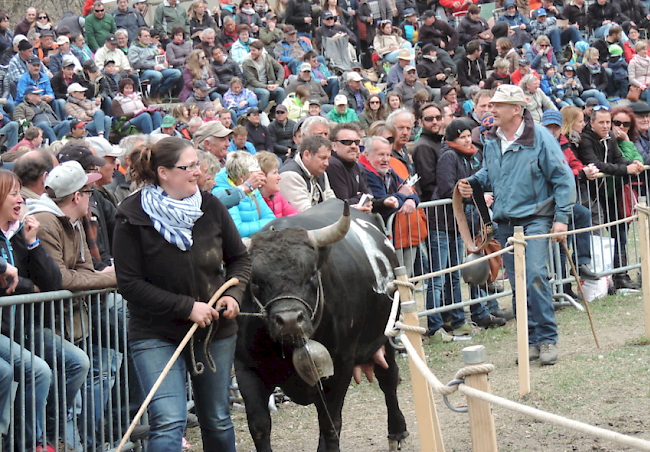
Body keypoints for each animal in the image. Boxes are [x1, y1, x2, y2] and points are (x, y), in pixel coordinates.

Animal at [234, 200, 404, 452]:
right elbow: (259, 425)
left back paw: (397, 432)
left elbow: (330, 423)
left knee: (389, 379)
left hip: (387, 335)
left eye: (312, 274)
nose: (289, 320)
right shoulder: (246, 368)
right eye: (255, 282)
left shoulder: (341, 365)